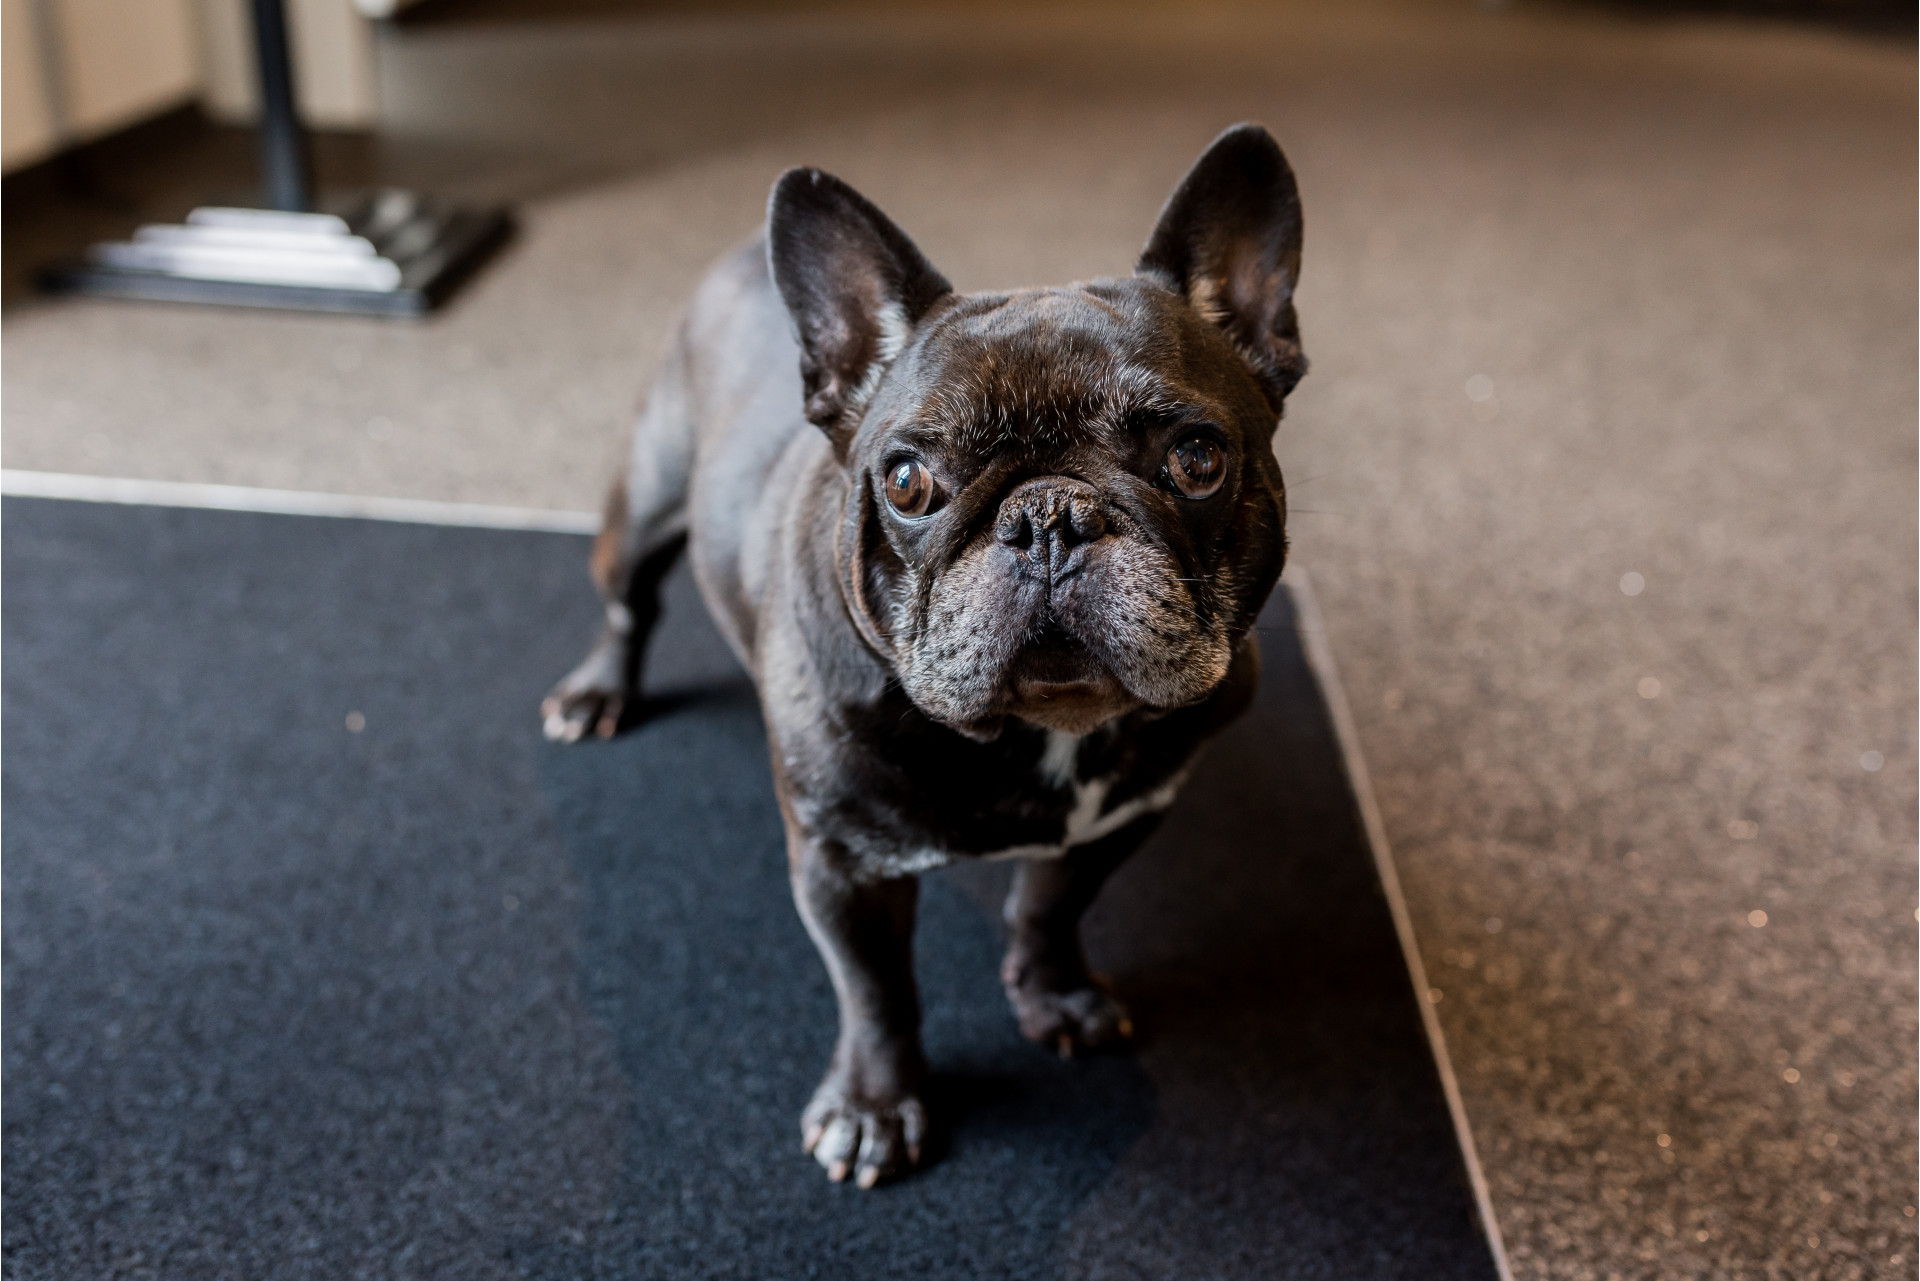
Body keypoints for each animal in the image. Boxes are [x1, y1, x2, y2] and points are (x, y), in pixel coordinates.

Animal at [542, 123, 1306, 1188]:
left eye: (1197, 459)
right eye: (907, 481)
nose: (1049, 516)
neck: (1043, 731)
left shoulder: (1128, 813)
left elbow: (1053, 905)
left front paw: (1054, 992)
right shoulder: (844, 867)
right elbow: (877, 994)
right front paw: (873, 1106)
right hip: (647, 495)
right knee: (627, 601)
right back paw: (598, 691)